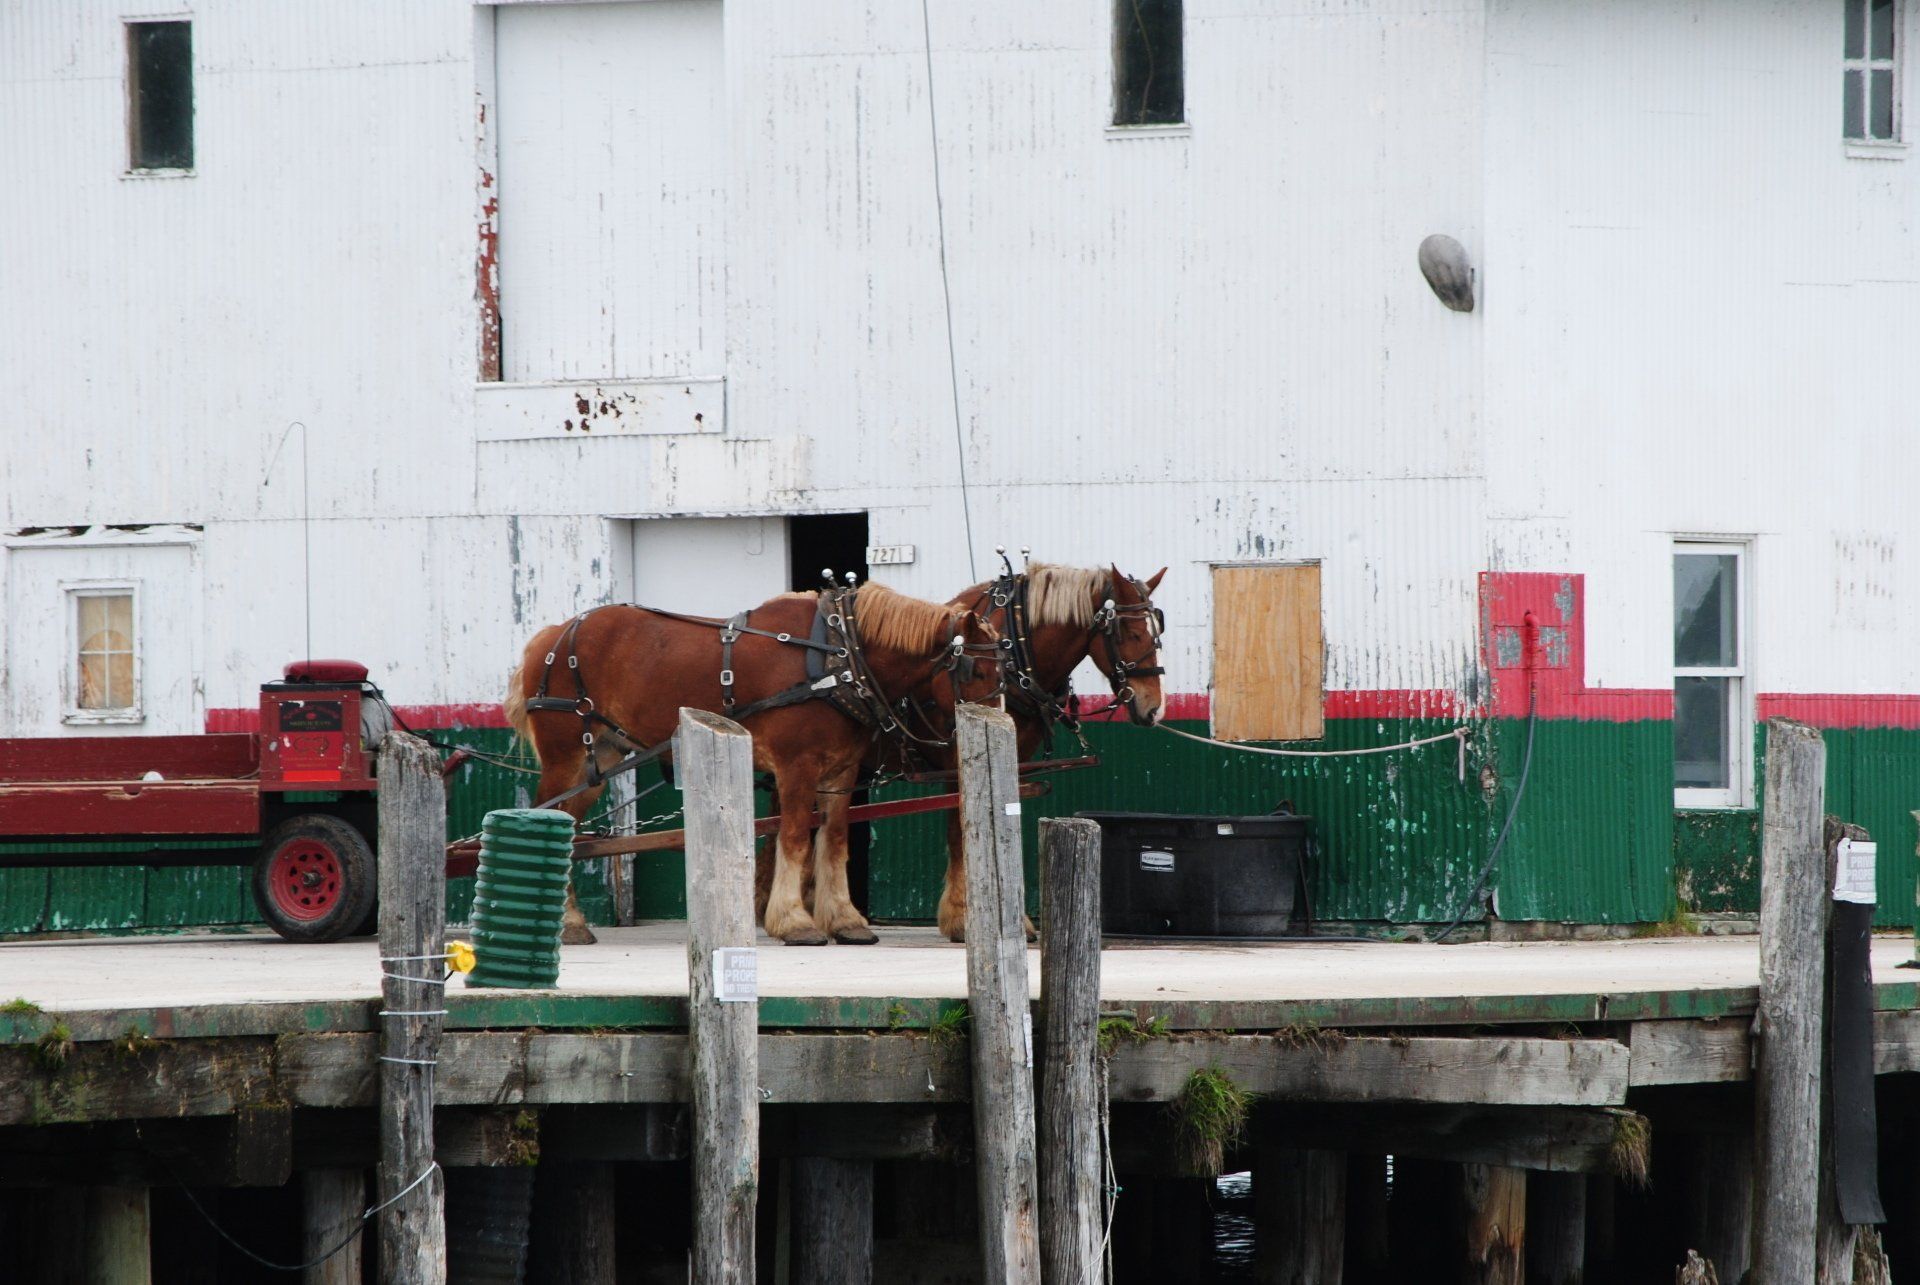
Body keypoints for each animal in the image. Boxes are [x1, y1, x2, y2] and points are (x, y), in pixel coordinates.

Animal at [505, 582, 1004, 946]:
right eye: (976, 671)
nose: (1003, 727)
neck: (838, 655)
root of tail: (552, 635)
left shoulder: (840, 773)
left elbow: (834, 842)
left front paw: (844, 920)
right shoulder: (796, 766)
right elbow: (795, 839)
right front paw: (795, 922)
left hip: (601, 756)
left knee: (569, 828)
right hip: (567, 757)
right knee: (550, 819)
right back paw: (564, 922)